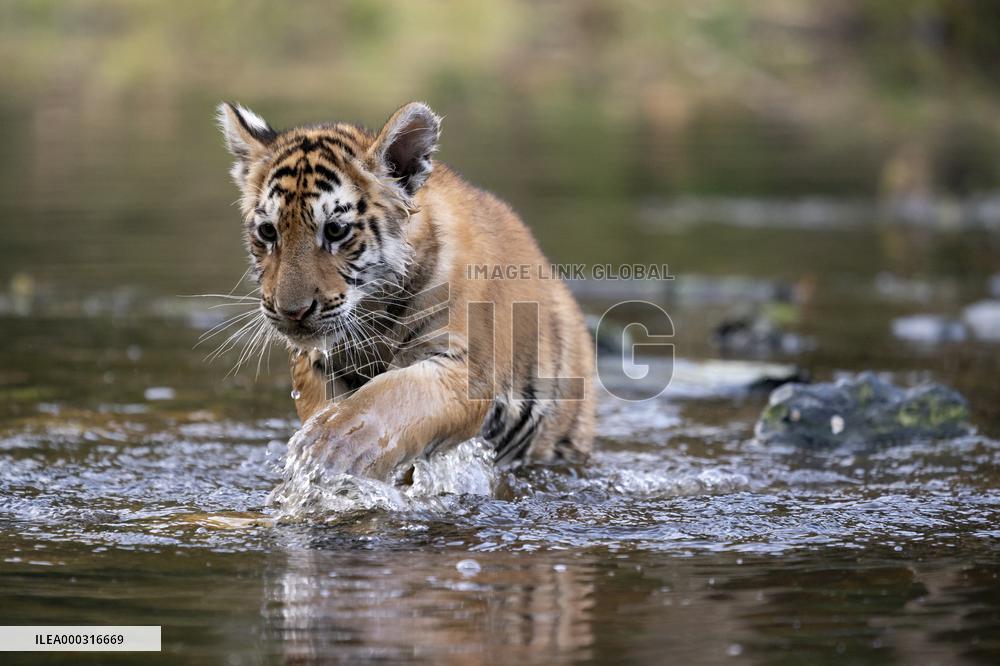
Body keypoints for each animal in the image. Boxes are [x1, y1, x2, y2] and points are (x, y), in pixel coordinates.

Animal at [217, 100, 595, 482]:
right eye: (268, 231)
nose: (291, 311)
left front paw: (333, 445)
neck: (374, 313)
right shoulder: (316, 363)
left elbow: (393, 394)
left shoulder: (464, 367)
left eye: (336, 230)